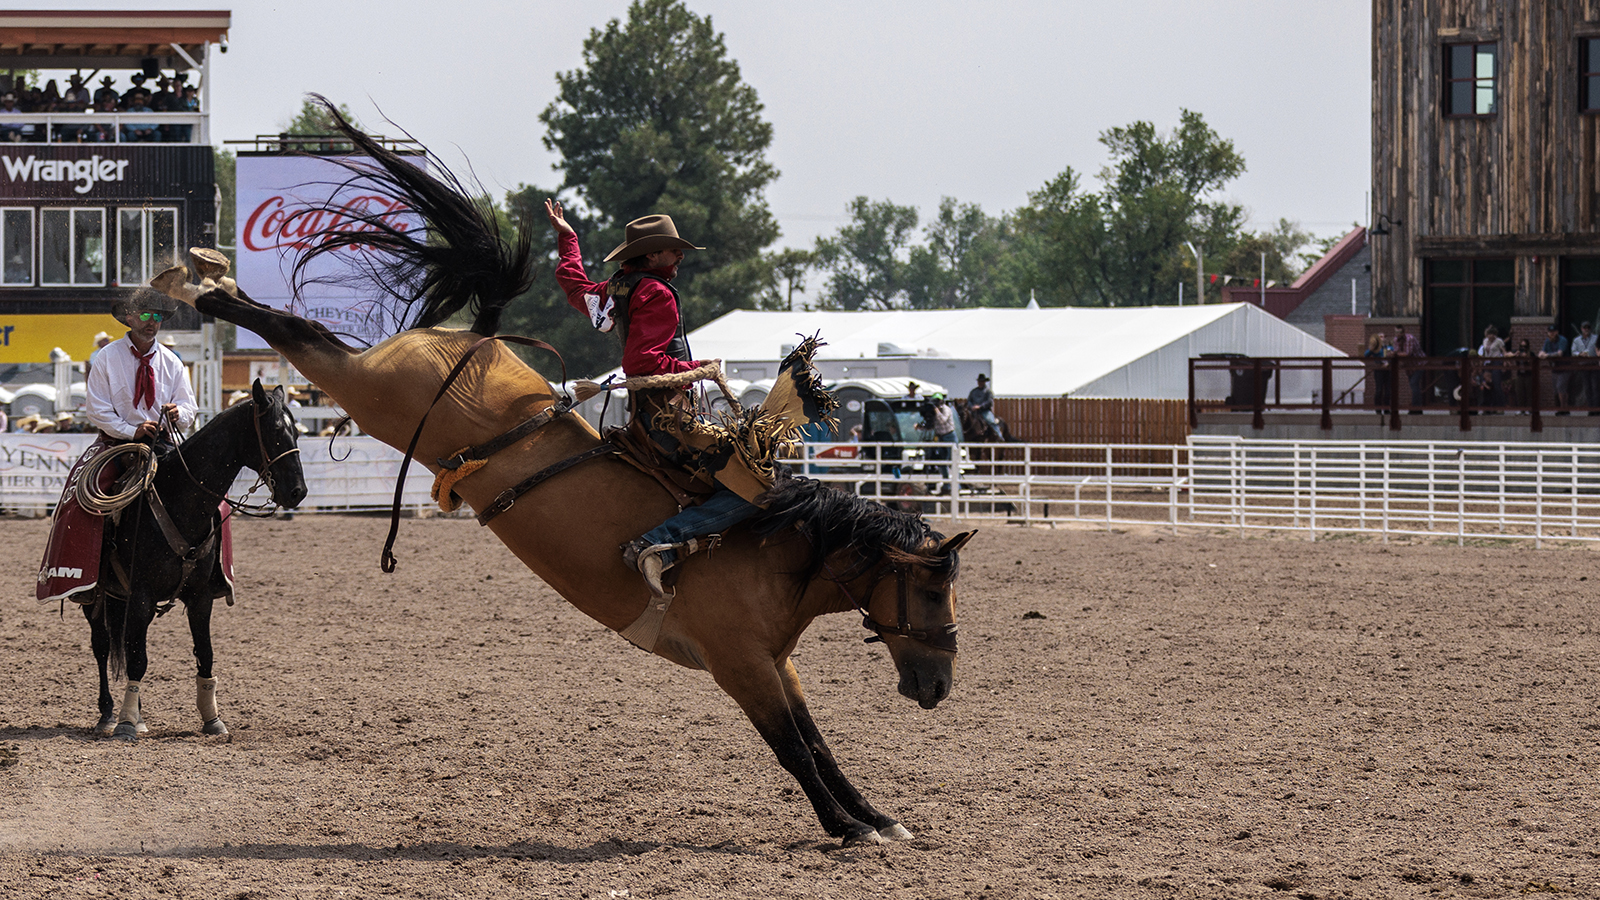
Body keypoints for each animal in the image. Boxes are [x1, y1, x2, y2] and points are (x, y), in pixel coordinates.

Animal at [74, 377, 308, 736]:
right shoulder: (141, 594)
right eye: (275, 432)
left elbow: (205, 654)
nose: (298, 491)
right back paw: (109, 714)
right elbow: (138, 658)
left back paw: (137, 714)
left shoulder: (200, 597)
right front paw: (125, 724)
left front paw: (211, 718)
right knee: (102, 645)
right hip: (96, 596)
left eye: (296, 432)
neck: (179, 498)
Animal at [152, 101, 972, 845]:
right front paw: (847, 827)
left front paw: (879, 818)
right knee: (301, 333)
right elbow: (793, 748)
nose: (938, 686)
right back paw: (195, 284)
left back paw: (200, 277)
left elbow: (818, 740)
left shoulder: (776, 663)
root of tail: (476, 340)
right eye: (933, 589)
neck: (778, 549)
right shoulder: (739, 663)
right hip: (370, 385)